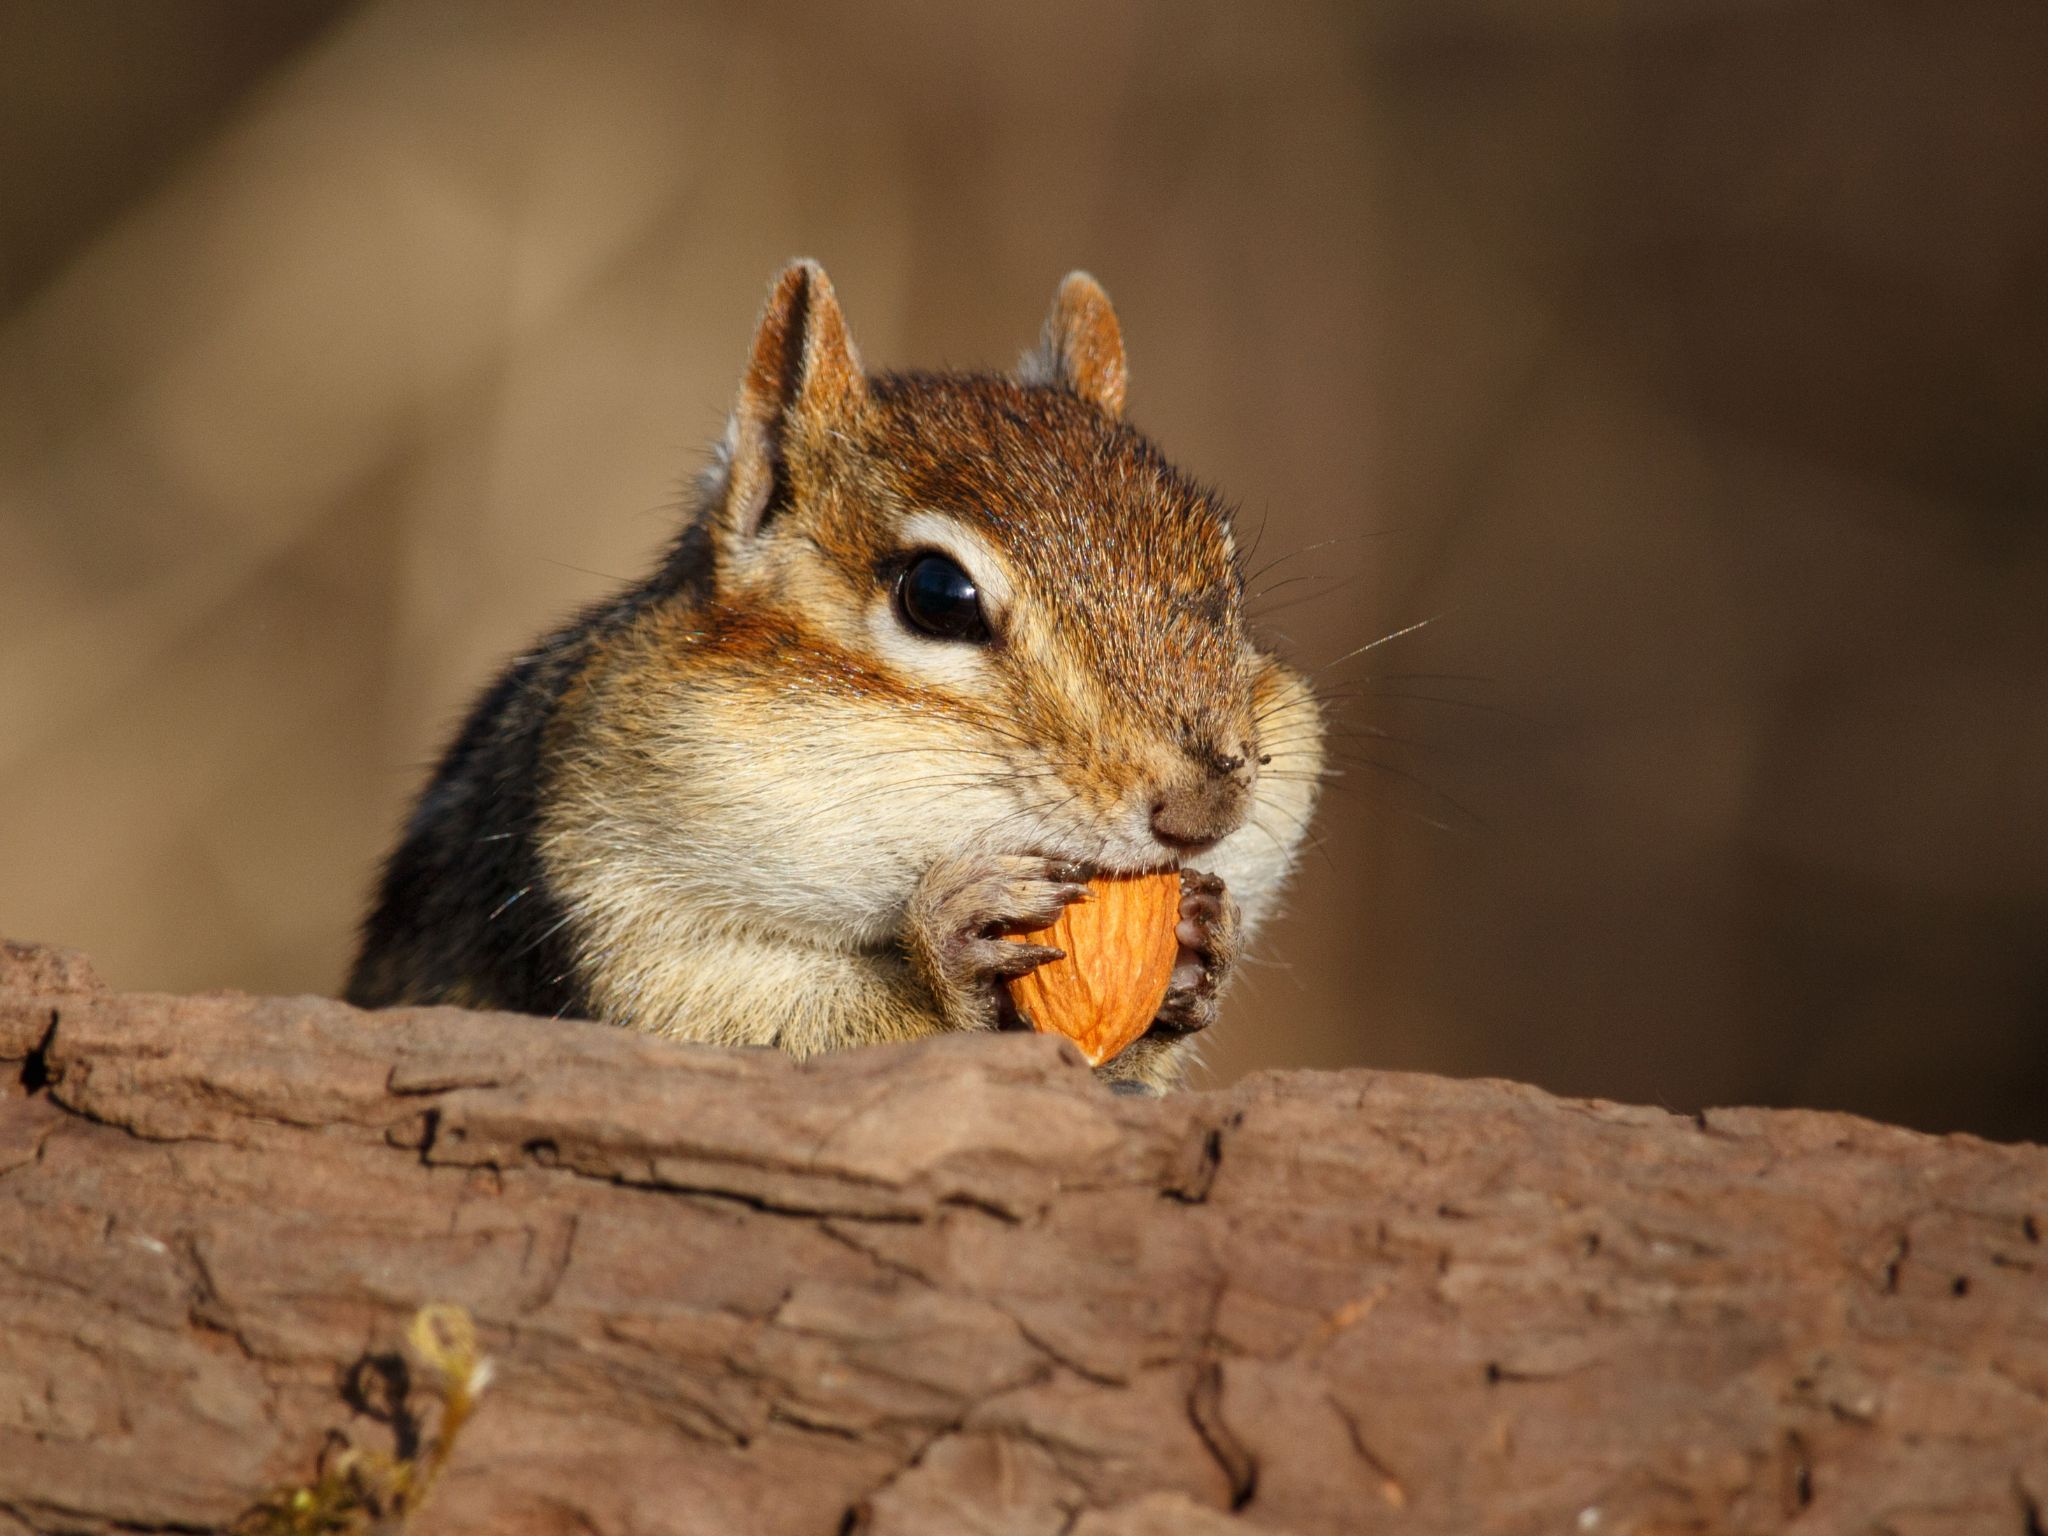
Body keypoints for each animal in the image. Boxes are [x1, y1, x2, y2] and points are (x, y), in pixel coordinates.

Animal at [345, 261, 1324, 1094]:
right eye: (937, 595)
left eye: (1229, 577)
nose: (1205, 812)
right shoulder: (622, 927)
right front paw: (949, 945)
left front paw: (1206, 950)